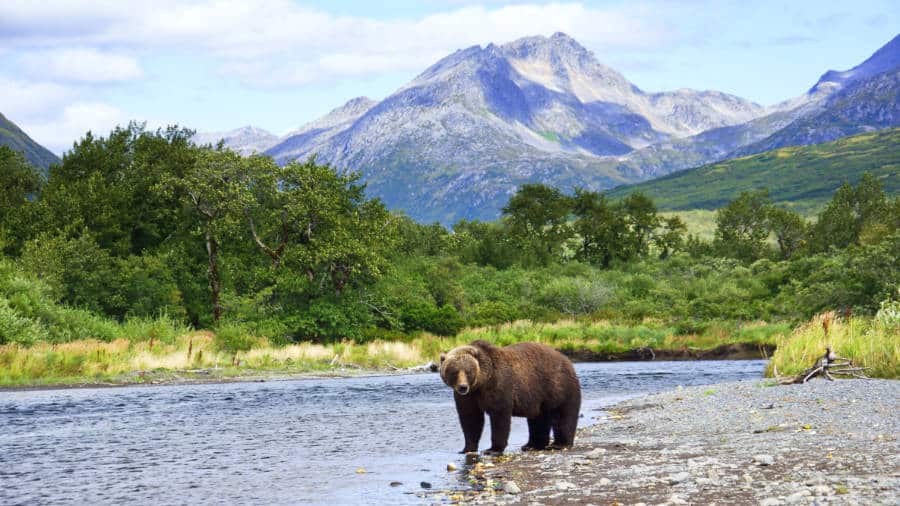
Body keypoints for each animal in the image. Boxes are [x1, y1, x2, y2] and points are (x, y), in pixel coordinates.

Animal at [439, 340, 581, 454]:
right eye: (454, 372)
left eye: (468, 371)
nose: (463, 387)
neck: (482, 383)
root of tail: (567, 360)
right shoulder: (469, 397)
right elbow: (470, 418)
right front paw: (467, 448)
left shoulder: (499, 385)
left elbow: (499, 416)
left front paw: (493, 449)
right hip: (538, 396)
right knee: (538, 419)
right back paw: (531, 445)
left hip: (557, 386)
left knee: (562, 415)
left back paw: (560, 444)